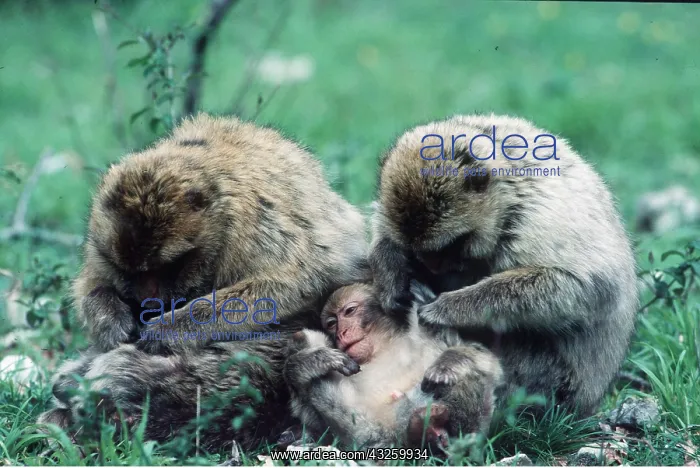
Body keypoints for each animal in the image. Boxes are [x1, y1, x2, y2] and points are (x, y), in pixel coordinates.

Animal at [37, 113, 370, 450]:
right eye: (131, 273)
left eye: (169, 267)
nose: (149, 299)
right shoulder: (101, 241)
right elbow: (92, 280)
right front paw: (111, 321)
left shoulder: (252, 222)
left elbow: (300, 279)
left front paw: (168, 329)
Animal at [283, 282, 503, 450]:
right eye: (331, 323)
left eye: (349, 311)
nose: (340, 334)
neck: (382, 347)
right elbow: (317, 425)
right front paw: (313, 360)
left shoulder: (433, 331)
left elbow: (486, 360)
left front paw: (447, 365)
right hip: (370, 431)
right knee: (301, 340)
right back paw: (421, 430)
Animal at [369, 114, 639, 418]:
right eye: (416, 249)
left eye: (451, 245)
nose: (432, 267)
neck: (507, 200)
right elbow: (382, 227)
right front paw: (391, 278)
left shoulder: (535, 219)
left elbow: (587, 287)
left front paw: (447, 308)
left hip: (555, 387)